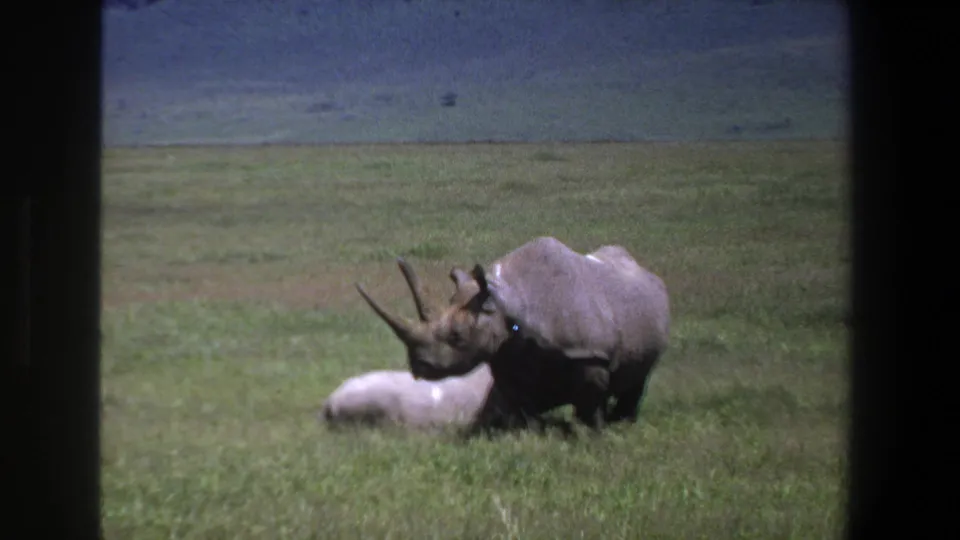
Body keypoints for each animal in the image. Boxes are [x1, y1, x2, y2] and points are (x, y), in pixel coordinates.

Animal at [354, 236, 671, 432]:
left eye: (457, 336)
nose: (419, 366)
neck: (505, 305)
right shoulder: (507, 355)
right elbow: (521, 404)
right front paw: (528, 434)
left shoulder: (590, 353)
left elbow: (590, 403)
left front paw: (592, 434)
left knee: (639, 377)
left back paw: (623, 423)